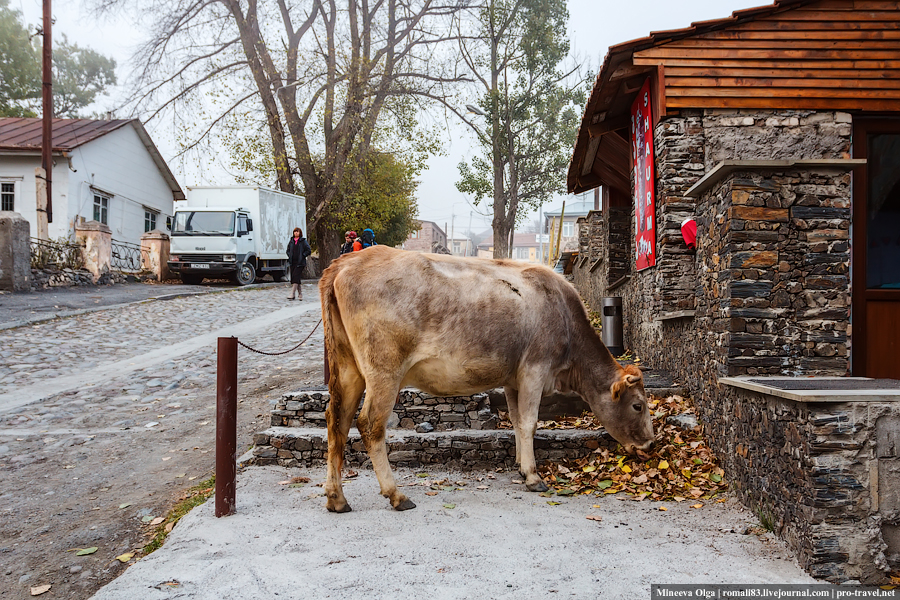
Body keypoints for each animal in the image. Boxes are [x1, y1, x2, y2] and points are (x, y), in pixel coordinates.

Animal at [318, 244, 652, 510]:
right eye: (638, 405)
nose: (650, 444)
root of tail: (347, 261)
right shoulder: (535, 369)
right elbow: (530, 423)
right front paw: (534, 476)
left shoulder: (513, 378)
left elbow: (516, 421)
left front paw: (520, 466)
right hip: (384, 369)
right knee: (370, 424)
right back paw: (396, 495)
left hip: (348, 368)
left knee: (337, 421)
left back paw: (337, 498)